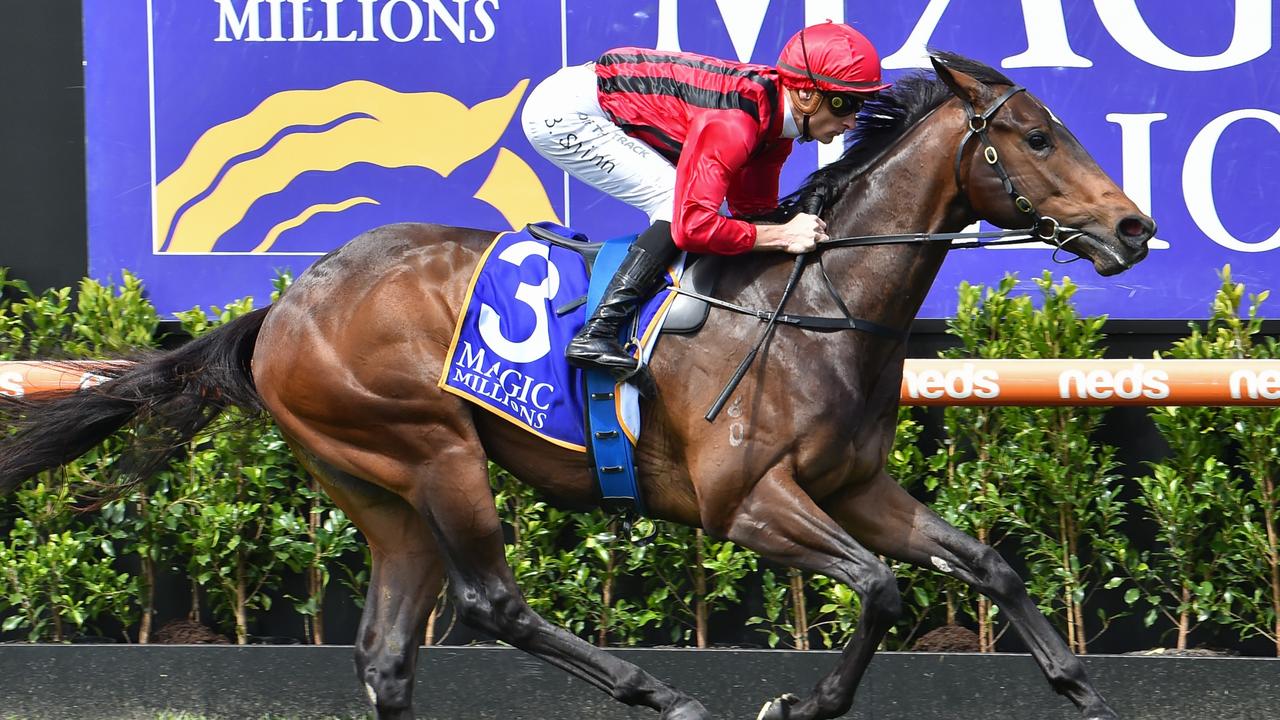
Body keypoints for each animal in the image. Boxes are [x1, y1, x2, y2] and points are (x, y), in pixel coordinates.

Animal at [0, 54, 1157, 717]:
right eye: (1037, 136)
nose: (1134, 226)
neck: (818, 301)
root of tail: (282, 308)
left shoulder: (854, 487)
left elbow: (986, 564)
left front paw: (1079, 688)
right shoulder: (747, 504)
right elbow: (878, 589)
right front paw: (799, 704)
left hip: (376, 488)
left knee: (387, 652)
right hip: (431, 449)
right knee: (491, 603)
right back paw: (662, 694)